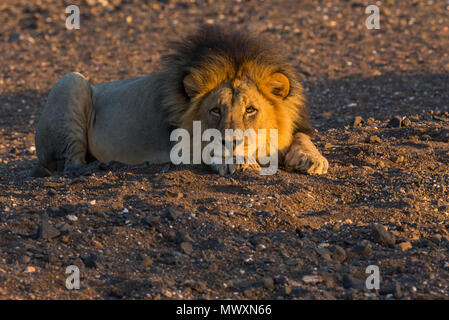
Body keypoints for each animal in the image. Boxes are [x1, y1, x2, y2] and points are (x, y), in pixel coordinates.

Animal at [30, 26, 326, 178]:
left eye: (251, 110)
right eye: (215, 110)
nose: (232, 142)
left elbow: (300, 137)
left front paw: (312, 159)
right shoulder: (181, 148)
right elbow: (209, 149)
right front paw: (234, 160)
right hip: (71, 81)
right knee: (69, 164)